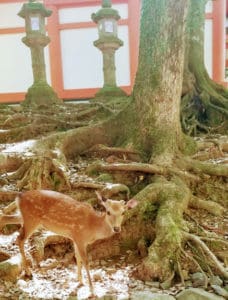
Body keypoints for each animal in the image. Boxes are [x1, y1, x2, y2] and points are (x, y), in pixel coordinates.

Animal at [0, 191, 137, 294]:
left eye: (123, 212)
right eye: (108, 212)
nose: (117, 228)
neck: (92, 227)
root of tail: (19, 196)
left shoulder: (76, 238)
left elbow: (77, 257)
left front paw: (80, 280)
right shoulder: (80, 237)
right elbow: (86, 261)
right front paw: (92, 289)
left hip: (24, 217)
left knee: (5, 218)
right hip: (31, 219)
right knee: (19, 239)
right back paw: (29, 272)